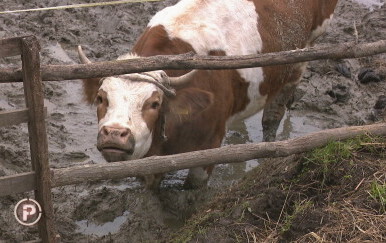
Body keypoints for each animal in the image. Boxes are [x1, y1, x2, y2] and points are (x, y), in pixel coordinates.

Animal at [79, 0, 338, 189]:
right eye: (101, 98)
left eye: (154, 103)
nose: (114, 133)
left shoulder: (207, 148)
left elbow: (192, 191)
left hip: (299, 60)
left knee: (273, 117)